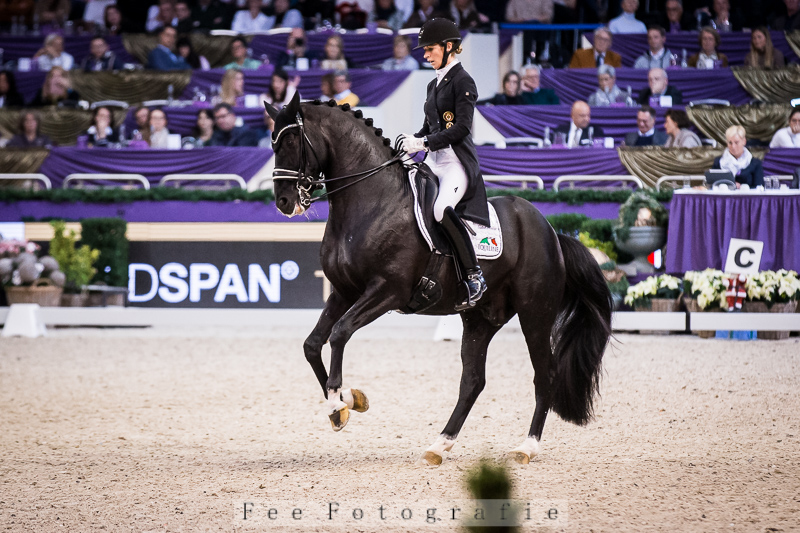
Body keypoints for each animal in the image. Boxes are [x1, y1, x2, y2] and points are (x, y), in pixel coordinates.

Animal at [265, 93, 612, 466]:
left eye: (291, 140)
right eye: (273, 143)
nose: (284, 202)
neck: (371, 202)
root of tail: (550, 231)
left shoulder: (387, 291)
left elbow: (340, 333)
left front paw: (341, 401)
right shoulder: (344, 292)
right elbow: (312, 344)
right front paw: (343, 406)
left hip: (535, 313)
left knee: (543, 374)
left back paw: (526, 447)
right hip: (480, 318)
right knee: (473, 381)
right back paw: (440, 444)